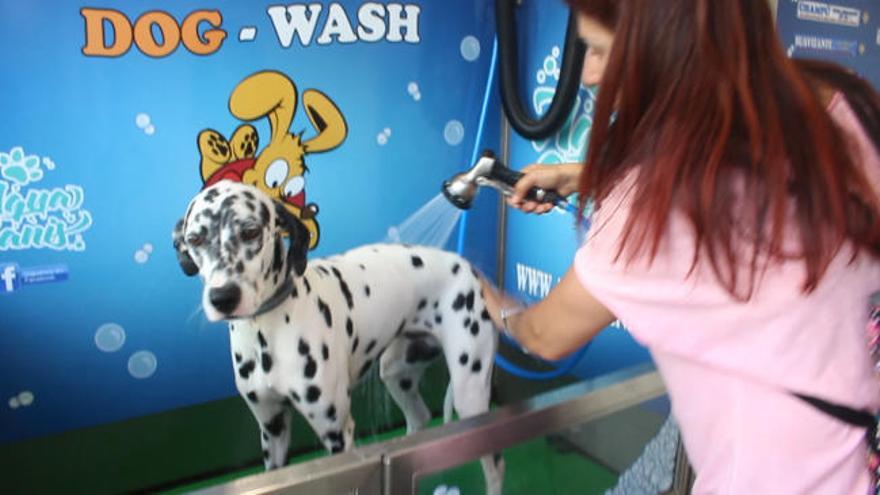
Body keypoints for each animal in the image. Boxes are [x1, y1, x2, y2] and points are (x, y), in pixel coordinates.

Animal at [174, 182, 502, 495]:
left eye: (250, 231)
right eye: (195, 239)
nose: (223, 297)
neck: (267, 333)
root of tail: (466, 264)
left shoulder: (337, 433)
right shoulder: (272, 428)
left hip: (470, 394)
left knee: (494, 463)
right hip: (397, 372)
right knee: (419, 419)